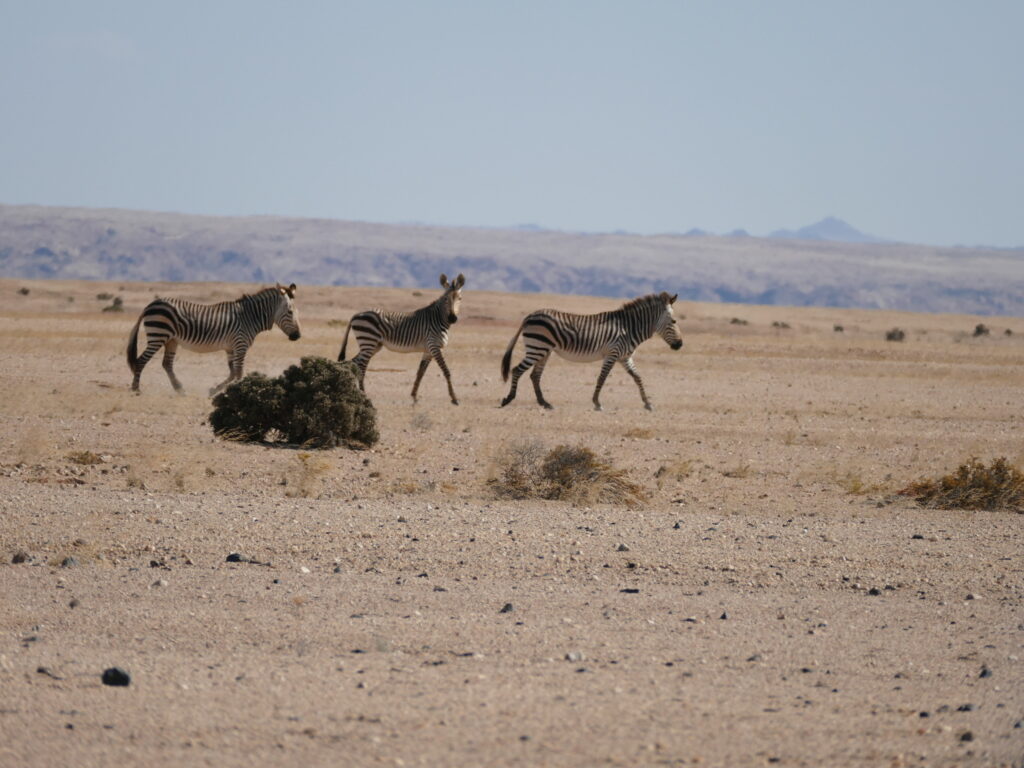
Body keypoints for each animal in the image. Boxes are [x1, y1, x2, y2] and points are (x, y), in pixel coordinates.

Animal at [124, 286, 299, 399]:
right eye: (290, 312)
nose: (297, 336)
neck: (249, 317)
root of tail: (150, 305)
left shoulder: (231, 348)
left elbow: (232, 373)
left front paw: (214, 391)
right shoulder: (240, 345)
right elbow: (239, 372)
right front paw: (240, 393)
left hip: (171, 340)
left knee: (167, 364)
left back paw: (180, 390)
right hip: (158, 335)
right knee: (141, 361)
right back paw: (136, 389)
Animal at [337, 276, 466, 409]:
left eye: (460, 298)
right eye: (445, 299)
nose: (452, 318)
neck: (437, 319)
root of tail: (355, 315)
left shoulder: (428, 350)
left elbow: (420, 373)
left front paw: (414, 397)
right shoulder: (434, 346)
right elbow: (446, 371)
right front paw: (454, 398)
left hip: (374, 345)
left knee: (354, 362)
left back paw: (355, 392)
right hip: (368, 341)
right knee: (361, 366)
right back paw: (364, 396)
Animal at [501, 290, 684, 411]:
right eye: (674, 321)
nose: (680, 345)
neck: (628, 328)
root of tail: (530, 315)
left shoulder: (625, 357)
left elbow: (638, 377)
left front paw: (647, 403)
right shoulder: (613, 354)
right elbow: (602, 378)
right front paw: (597, 403)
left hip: (544, 350)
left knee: (535, 375)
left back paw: (544, 403)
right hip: (537, 348)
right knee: (517, 370)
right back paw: (508, 399)